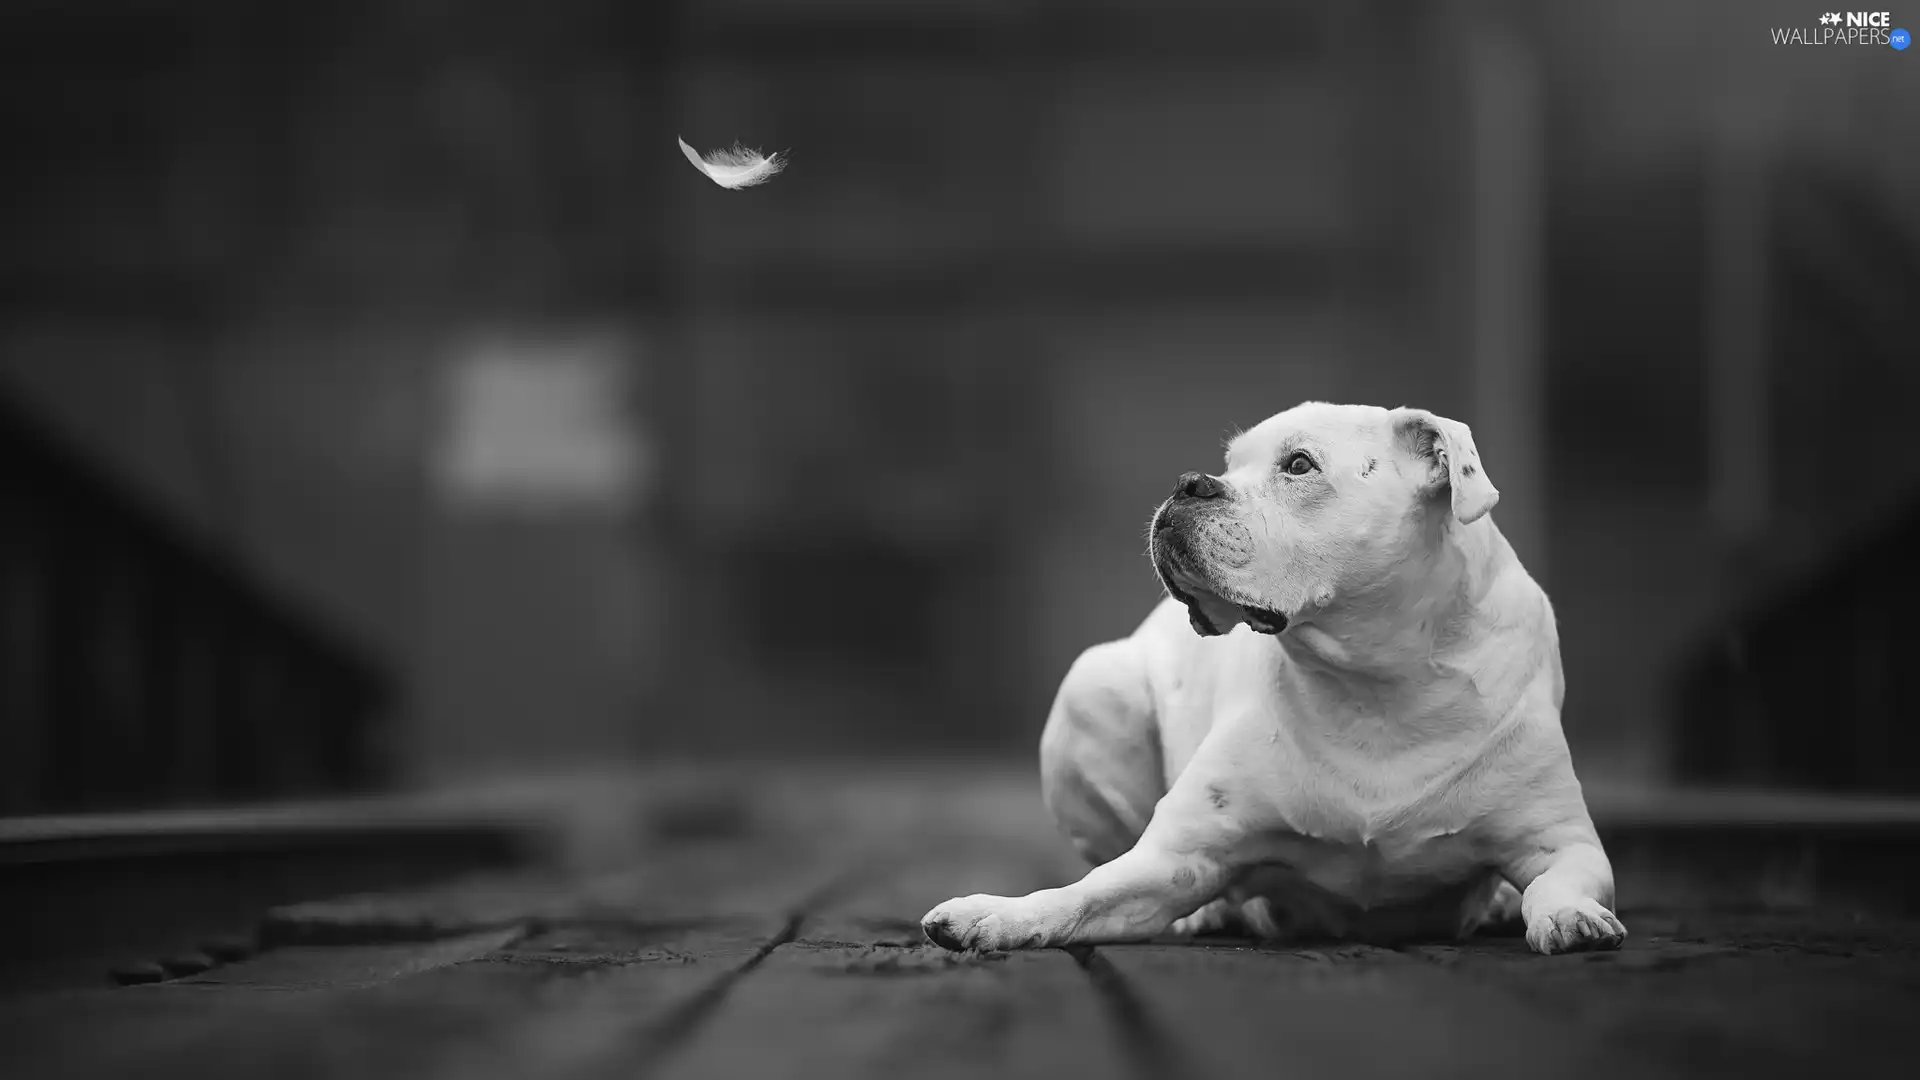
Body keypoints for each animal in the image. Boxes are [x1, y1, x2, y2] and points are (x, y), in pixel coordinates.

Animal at [921, 401, 1628, 949]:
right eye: (1228, 463)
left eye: (1299, 466)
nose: (1190, 482)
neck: (1377, 686)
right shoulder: (1175, 858)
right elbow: (1082, 893)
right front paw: (996, 916)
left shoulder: (1564, 842)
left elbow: (1558, 881)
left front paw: (1568, 914)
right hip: (1093, 687)